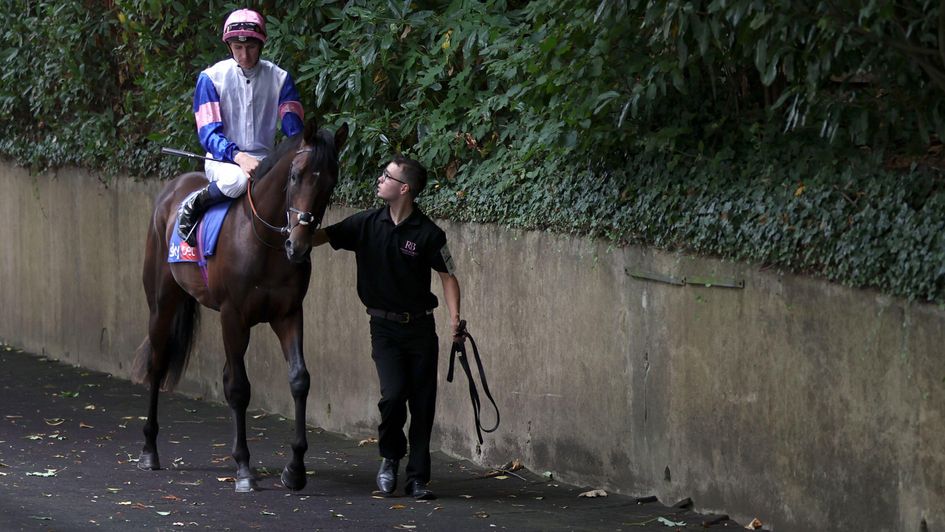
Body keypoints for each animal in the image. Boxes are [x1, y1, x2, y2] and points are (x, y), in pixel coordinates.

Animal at [127, 118, 344, 492]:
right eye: (295, 175)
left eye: (330, 181)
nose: (299, 245)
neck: (266, 241)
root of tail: (173, 189)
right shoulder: (233, 315)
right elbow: (239, 388)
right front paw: (243, 467)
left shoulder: (288, 314)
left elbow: (299, 380)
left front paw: (295, 468)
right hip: (162, 301)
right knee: (157, 364)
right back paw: (149, 450)